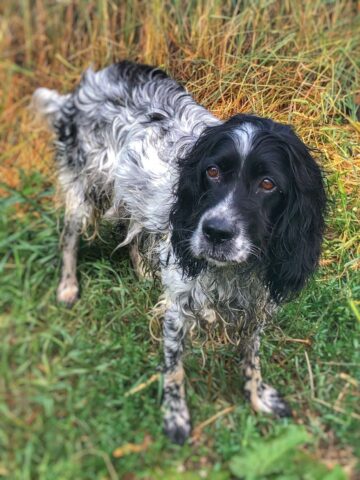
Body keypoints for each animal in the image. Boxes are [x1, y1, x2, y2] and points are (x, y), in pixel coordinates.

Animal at [32, 62, 326, 444]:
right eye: (212, 171)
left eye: (268, 184)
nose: (216, 232)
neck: (234, 272)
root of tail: (89, 82)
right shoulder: (179, 307)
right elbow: (174, 371)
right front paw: (175, 418)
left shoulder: (256, 302)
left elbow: (252, 356)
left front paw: (257, 396)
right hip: (84, 192)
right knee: (69, 238)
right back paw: (68, 286)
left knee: (134, 229)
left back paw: (144, 271)